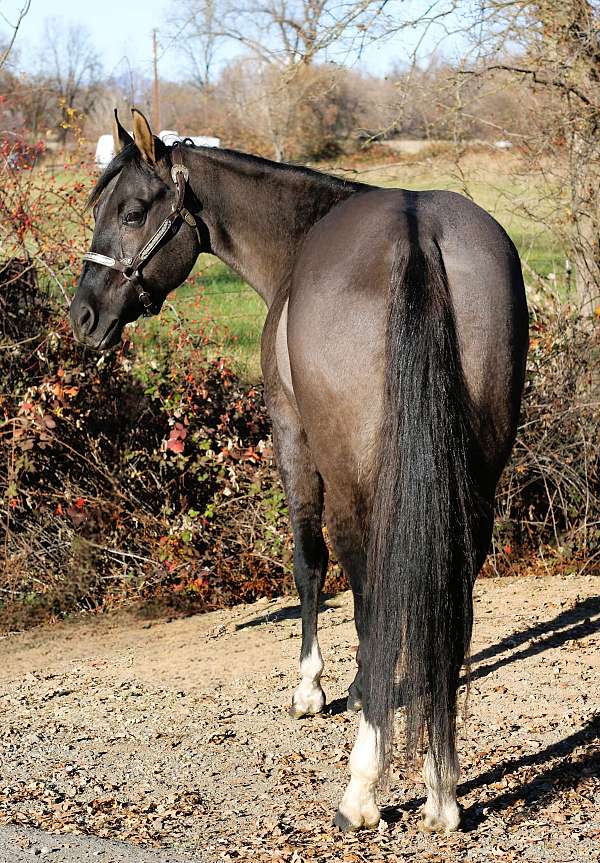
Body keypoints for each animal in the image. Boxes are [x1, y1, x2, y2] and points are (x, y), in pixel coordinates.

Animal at [70, 109, 528, 836]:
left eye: (134, 211)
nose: (83, 316)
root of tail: (417, 235)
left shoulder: (290, 438)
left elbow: (309, 565)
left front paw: (313, 687)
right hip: (475, 480)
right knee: (447, 603)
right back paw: (442, 790)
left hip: (352, 483)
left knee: (368, 597)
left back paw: (364, 787)